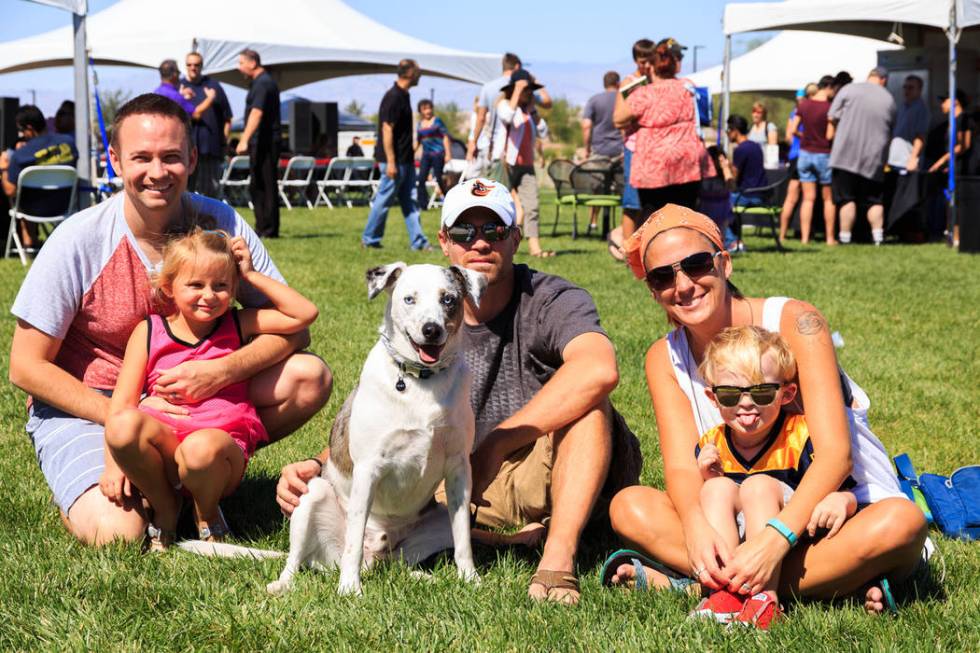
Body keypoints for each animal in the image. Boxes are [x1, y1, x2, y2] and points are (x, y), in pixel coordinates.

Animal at [268, 262, 486, 596]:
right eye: (409, 299)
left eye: (448, 299)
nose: (431, 330)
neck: (421, 381)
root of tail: (377, 554)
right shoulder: (368, 468)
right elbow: (353, 542)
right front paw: (349, 589)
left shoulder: (459, 470)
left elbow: (463, 538)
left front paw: (470, 580)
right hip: (313, 495)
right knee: (298, 558)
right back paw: (283, 584)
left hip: (434, 522)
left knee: (400, 563)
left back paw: (424, 577)